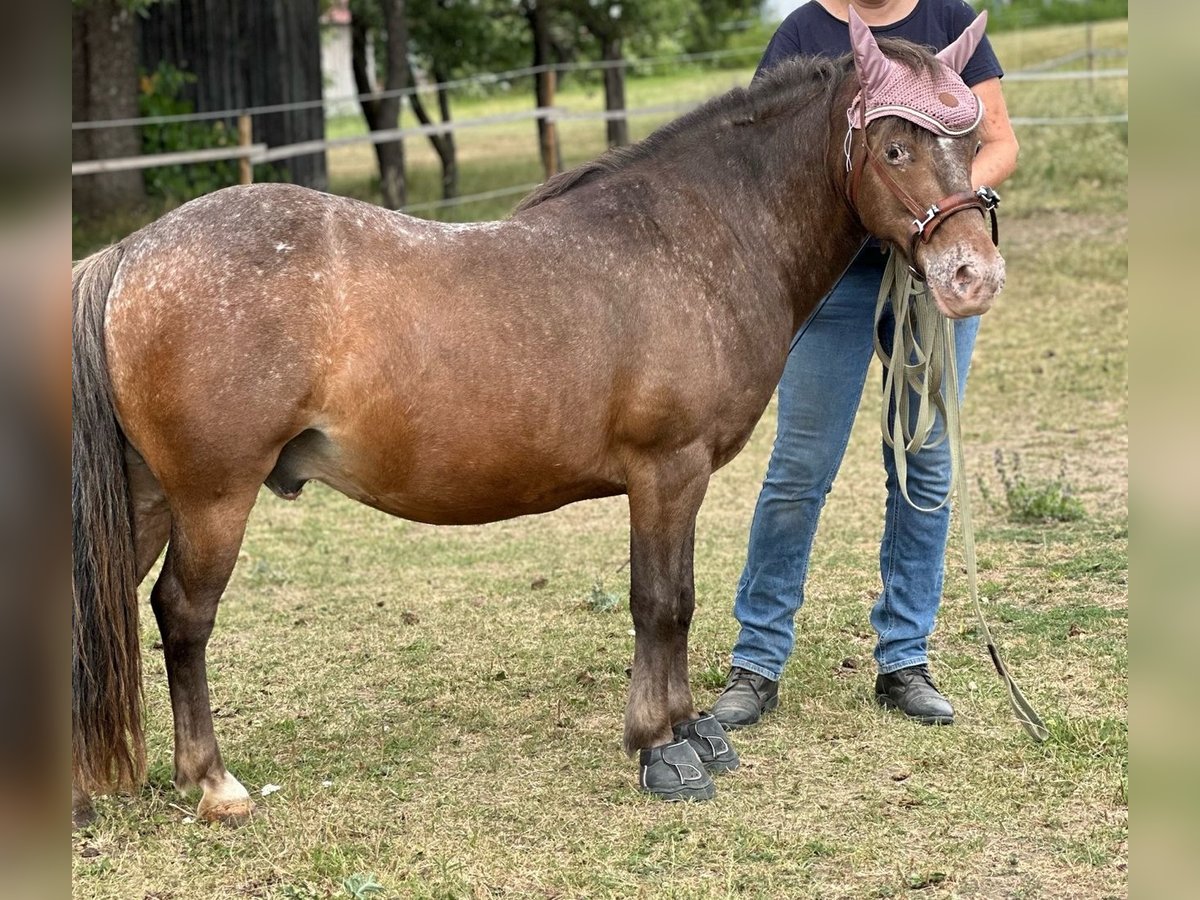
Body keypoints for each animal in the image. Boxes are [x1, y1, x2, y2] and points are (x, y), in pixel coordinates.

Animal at [72, 33, 1003, 825]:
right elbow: (660, 604)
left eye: (970, 141)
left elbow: (680, 600)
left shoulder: (684, 479)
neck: (695, 238)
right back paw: (214, 784)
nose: (973, 276)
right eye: (894, 148)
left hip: (151, 497)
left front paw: (691, 732)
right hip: (213, 498)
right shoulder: (666, 471)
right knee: (182, 615)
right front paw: (659, 749)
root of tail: (132, 252)